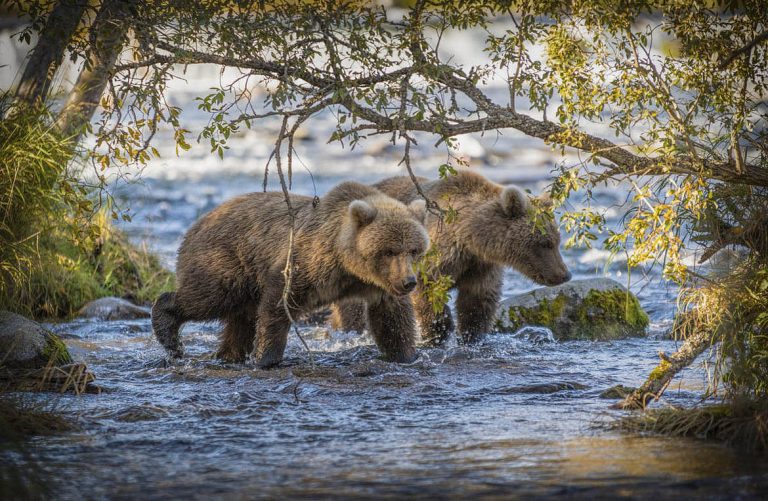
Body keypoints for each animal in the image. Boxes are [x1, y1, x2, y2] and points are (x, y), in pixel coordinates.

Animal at [152, 181, 428, 368]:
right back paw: (170, 334)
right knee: (208, 297)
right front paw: (265, 357)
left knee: (240, 321)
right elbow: (278, 305)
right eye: (389, 250)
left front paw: (406, 355)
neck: (347, 265)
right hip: (228, 261)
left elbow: (393, 320)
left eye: (414, 250)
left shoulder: (380, 287)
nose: (408, 282)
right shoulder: (306, 262)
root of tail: (196, 223)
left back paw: (229, 355)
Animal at [330, 170, 568, 346]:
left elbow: (477, 302)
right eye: (545, 243)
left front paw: (471, 335)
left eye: (557, 240)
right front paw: (438, 332)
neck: (468, 238)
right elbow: (426, 292)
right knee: (353, 310)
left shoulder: (480, 266)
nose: (564, 275)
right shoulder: (434, 254)